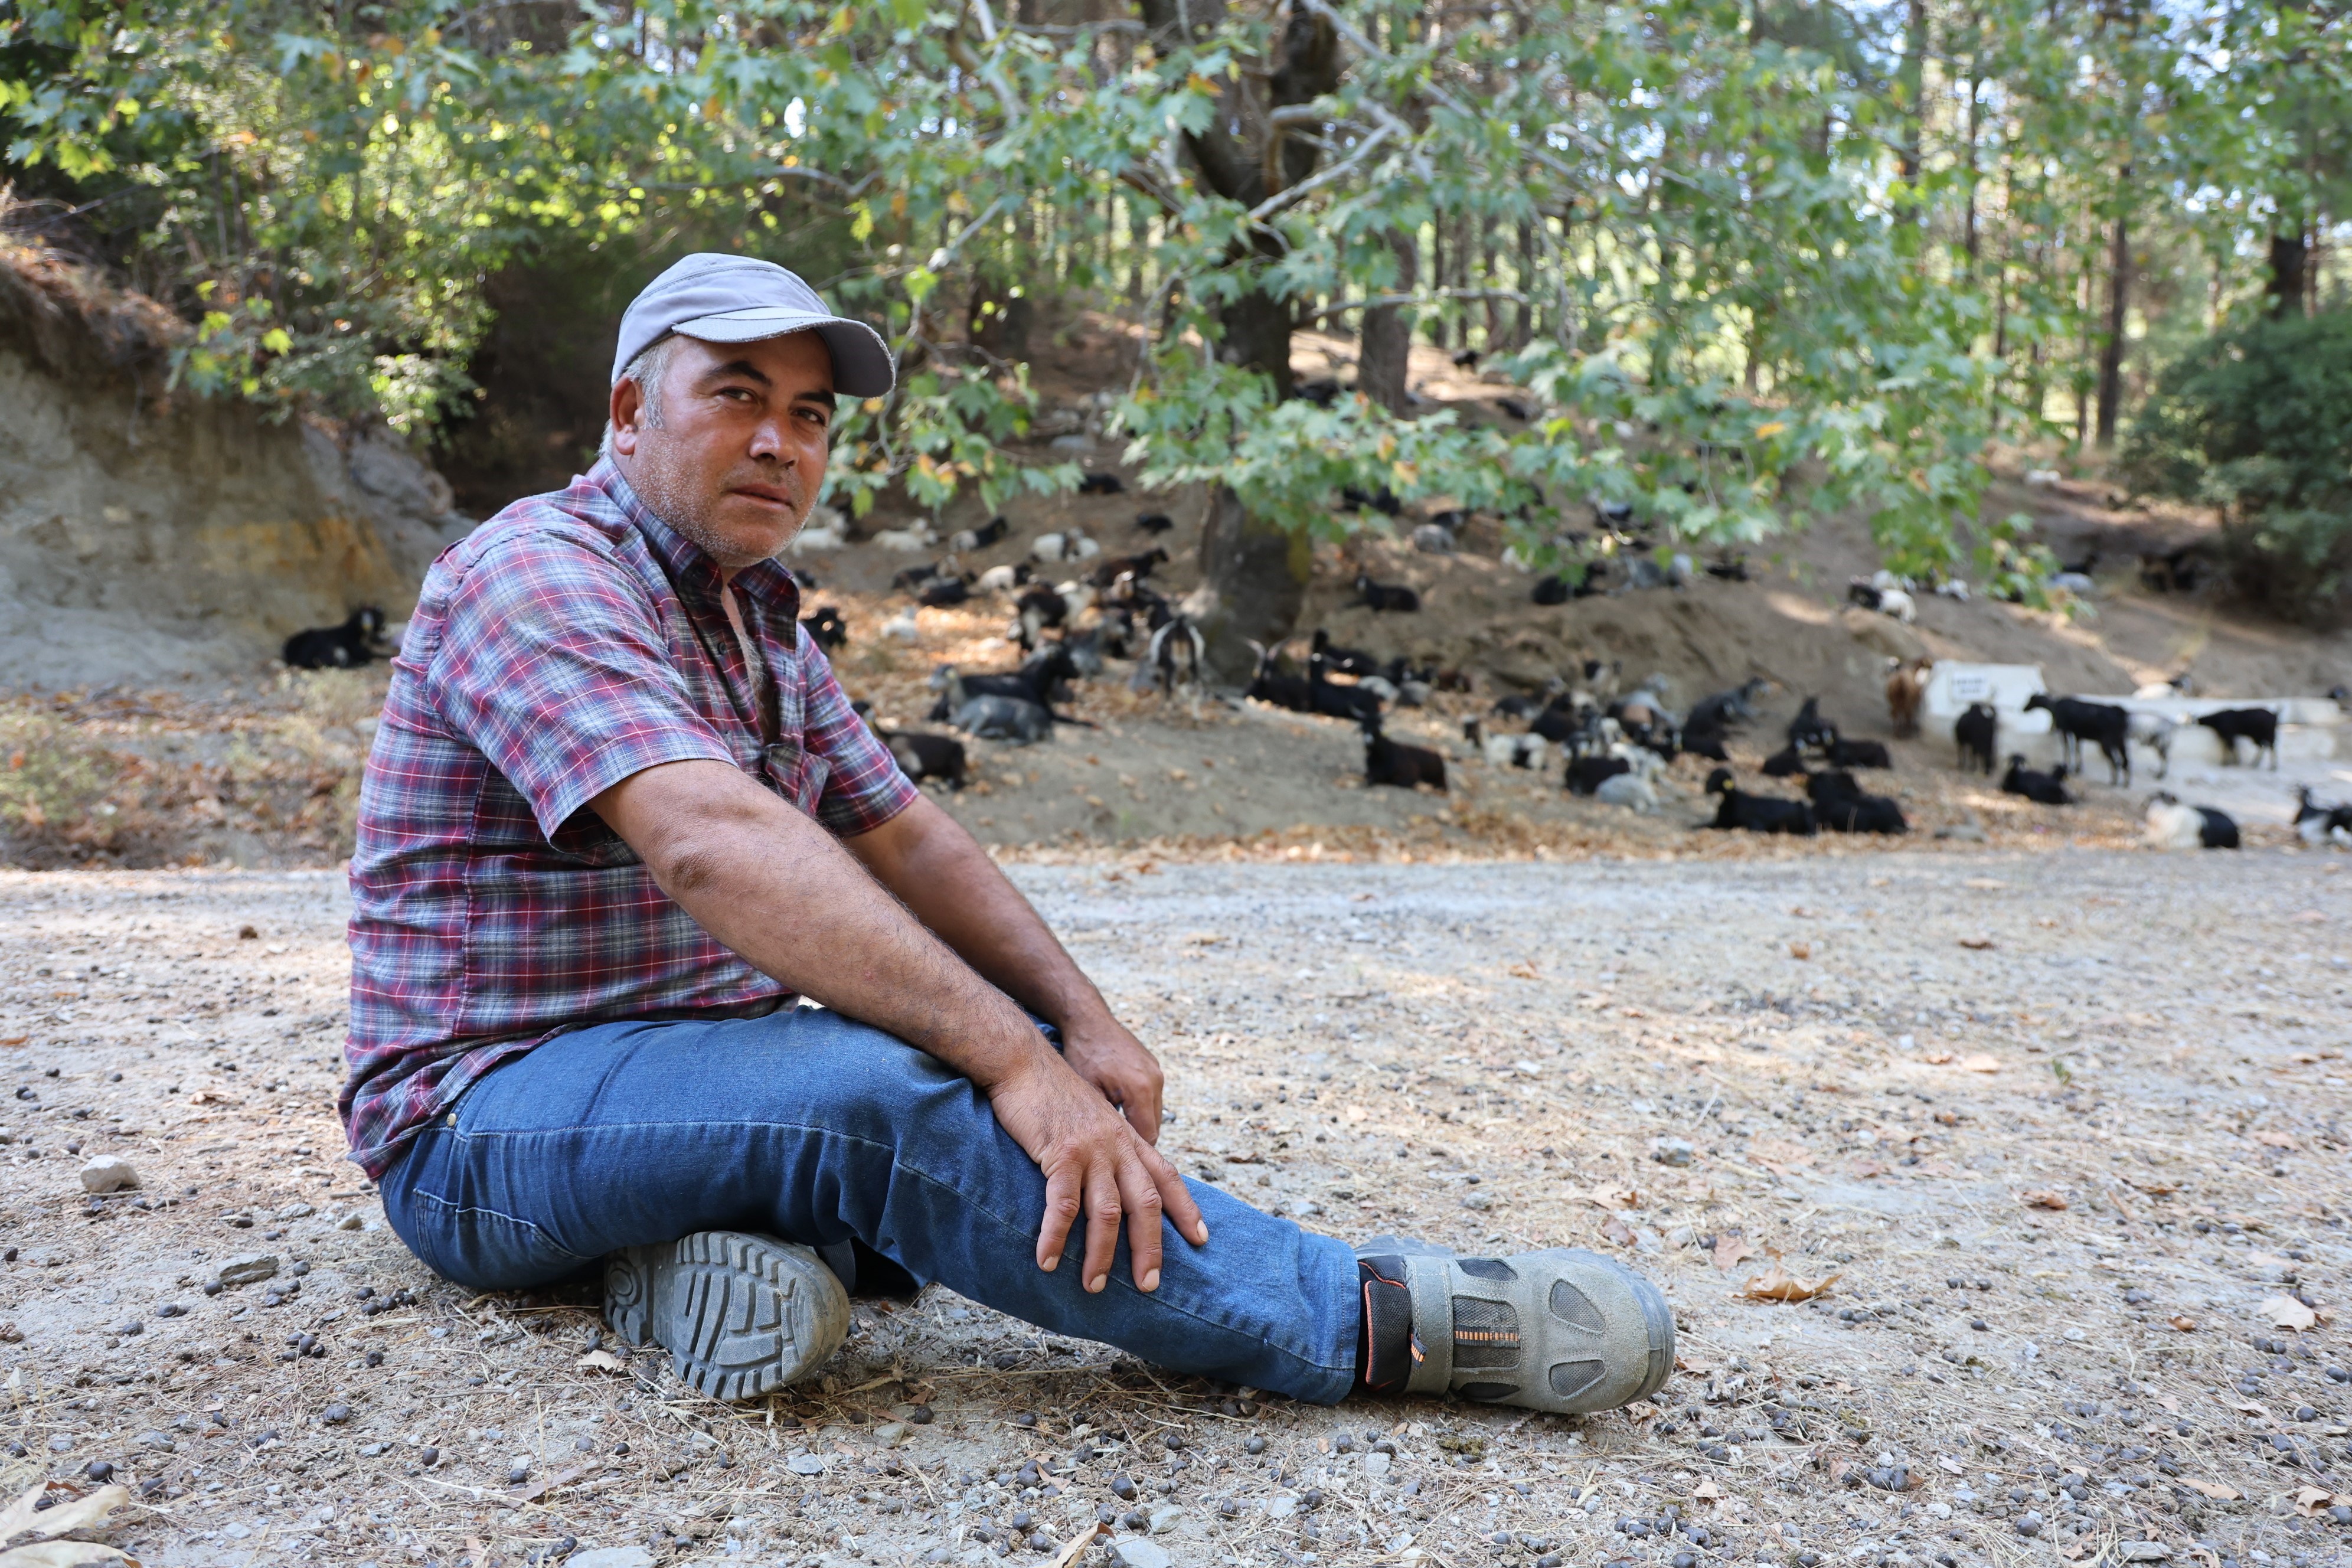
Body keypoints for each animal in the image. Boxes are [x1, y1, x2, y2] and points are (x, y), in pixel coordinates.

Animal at [2023, 691, 2135, 785]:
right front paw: (2078, 768)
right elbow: (2077, 749)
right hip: (2120, 740)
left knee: (2116, 760)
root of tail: (2122, 714)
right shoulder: (2078, 735)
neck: (2055, 708)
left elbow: (2068, 748)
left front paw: (2068, 766)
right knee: (2126, 759)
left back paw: (2114, 781)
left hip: (2107, 741)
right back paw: (2126, 782)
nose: (2024, 709)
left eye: (2031, 699)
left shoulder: (2065, 730)